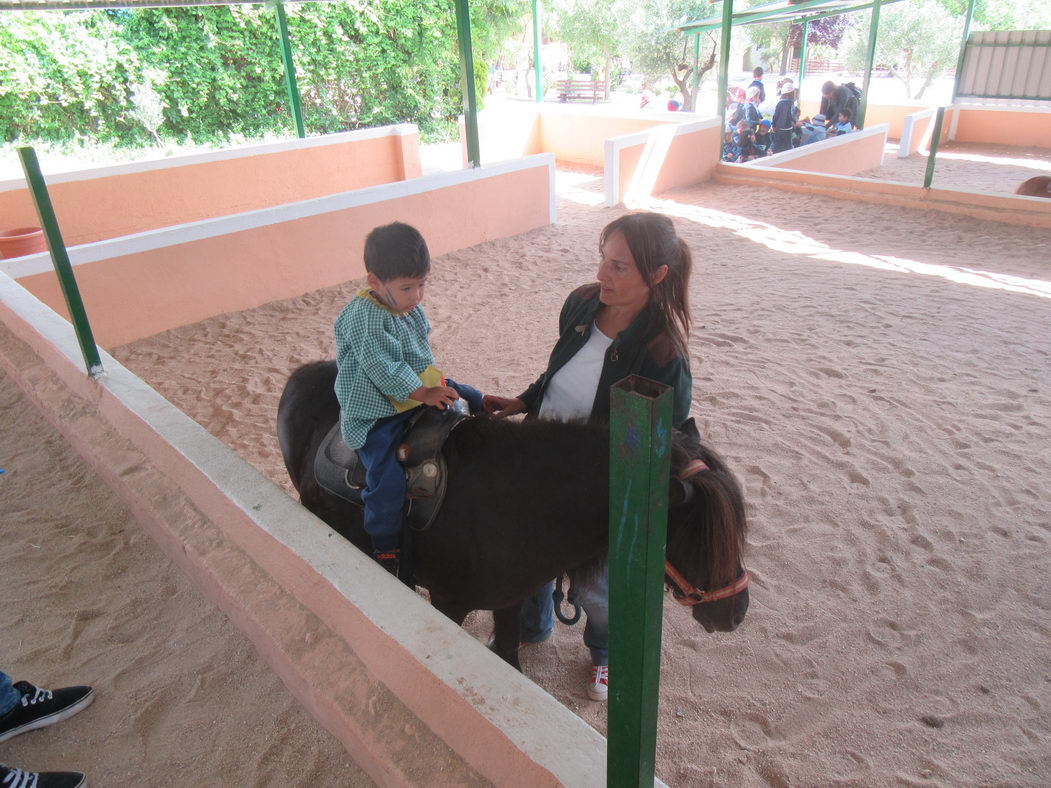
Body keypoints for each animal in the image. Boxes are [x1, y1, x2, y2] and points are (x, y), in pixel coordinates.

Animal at [277, 361, 748, 668]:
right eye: (698, 538)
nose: (735, 612)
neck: (517, 504)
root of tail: (301, 373)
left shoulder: (509, 599)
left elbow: (507, 653)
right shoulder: (449, 602)